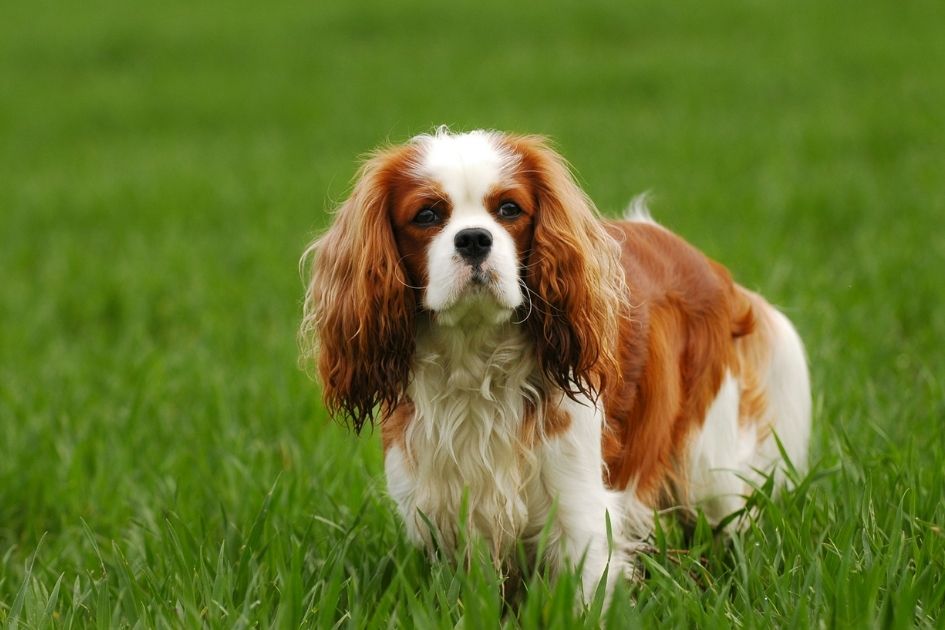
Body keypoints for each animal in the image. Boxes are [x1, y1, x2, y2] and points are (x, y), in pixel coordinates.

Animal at [298, 127, 808, 604]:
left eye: (509, 209)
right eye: (426, 216)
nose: (474, 239)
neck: (475, 362)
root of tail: (707, 265)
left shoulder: (578, 512)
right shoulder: (451, 516)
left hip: (708, 466)